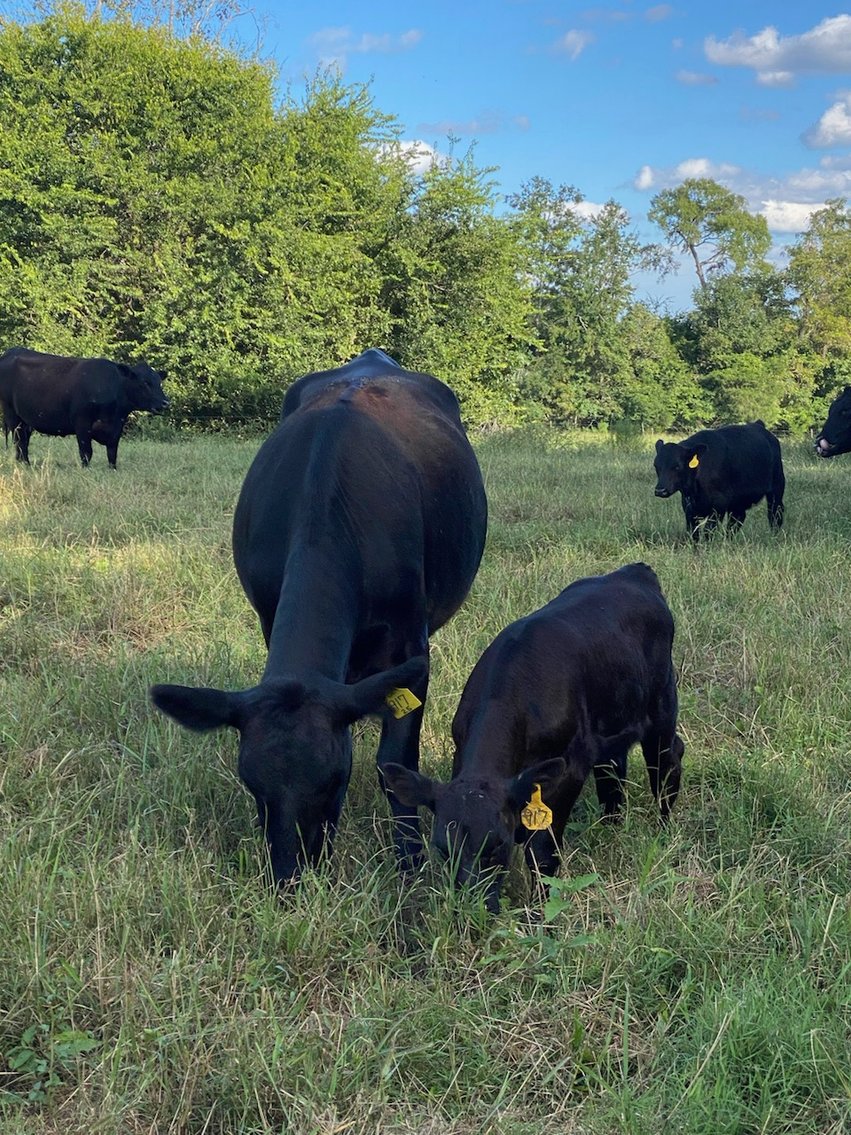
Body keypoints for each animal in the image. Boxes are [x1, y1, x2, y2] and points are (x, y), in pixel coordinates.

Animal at [0, 347, 168, 468]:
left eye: (159, 382)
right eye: (145, 382)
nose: (166, 402)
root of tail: (12, 351)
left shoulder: (116, 428)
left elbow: (112, 453)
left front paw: (112, 469)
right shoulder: (82, 423)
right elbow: (86, 452)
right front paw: (85, 469)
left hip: (26, 419)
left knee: (24, 440)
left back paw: (25, 464)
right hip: (12, 414)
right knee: (19, 441)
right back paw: (23, 465)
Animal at [151, 348, 488, 886]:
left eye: (336, 778)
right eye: (252, 784)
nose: (292, 874)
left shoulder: (411, 643)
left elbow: (396, 763)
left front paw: (410, 863)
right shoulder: (269, 618)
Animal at [382, 562, 684, 914]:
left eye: (496, 845)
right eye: (443, 850)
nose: (473, 908)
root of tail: (634, 572)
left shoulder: (568, 770)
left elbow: (542, 852)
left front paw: (540, 910)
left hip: (661, 707)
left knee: (667, 761)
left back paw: (663, 829)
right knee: (612, 774)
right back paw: (611, 827)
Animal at [653, 422, 785, 541]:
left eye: (677, 466)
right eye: (656, 466)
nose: (660, 490)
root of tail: (758, 424)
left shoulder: (719, 504)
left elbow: (708, 530)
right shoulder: (688, 506)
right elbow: (694, 532)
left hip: (777, 487)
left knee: (775, 514)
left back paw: (774, 537)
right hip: (738, 500)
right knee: (737, 519)